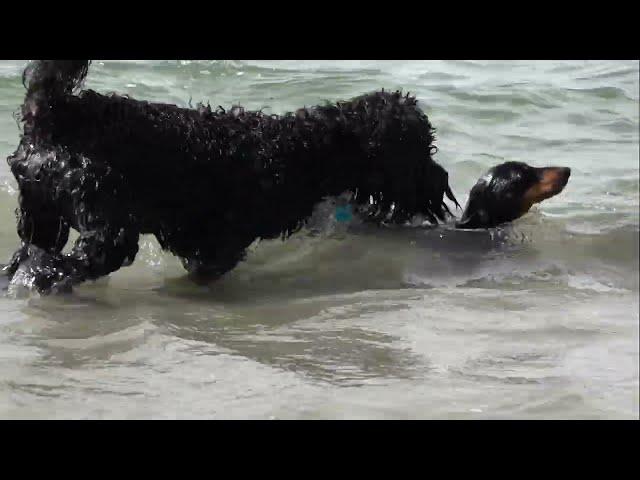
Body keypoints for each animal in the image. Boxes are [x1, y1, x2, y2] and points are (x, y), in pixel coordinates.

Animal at [1, 60, 568, 292]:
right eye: (419, 148)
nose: (445, 181)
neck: (310, 148)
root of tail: (52, 110)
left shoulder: (212, 247)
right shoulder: (217, 246)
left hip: (43, 218)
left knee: (28, 259)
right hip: (105, 223)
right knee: (58, 268)